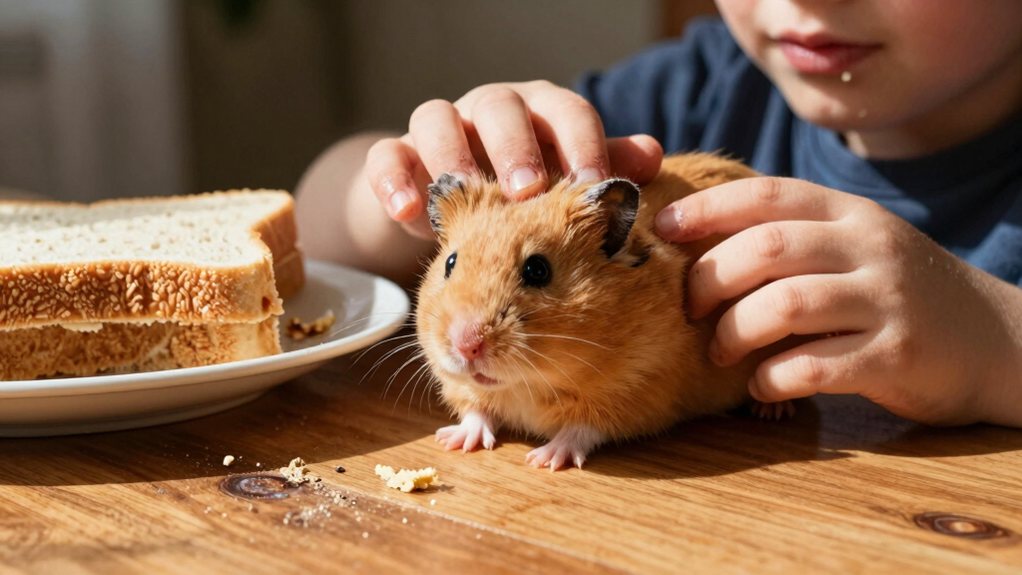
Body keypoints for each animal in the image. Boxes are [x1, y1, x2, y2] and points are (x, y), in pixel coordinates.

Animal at [416, 153, 766, 470]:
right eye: (450, 263)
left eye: (537, 270)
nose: (466, 346)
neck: (525, 386)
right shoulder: (463, 388)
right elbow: (476, 411)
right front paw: (453, 441)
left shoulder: (641, 388)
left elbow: (581, 430)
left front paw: (543, 460)